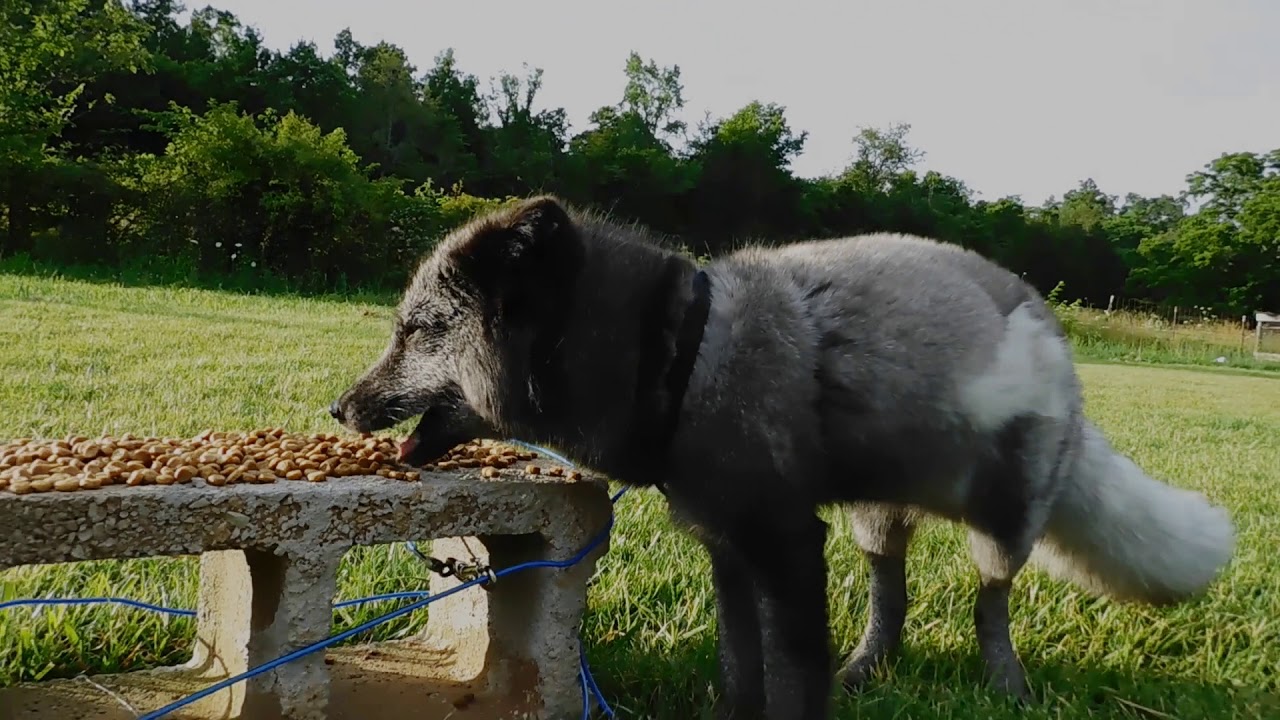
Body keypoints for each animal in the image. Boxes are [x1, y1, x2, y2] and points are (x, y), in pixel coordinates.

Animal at [330, 195, 1235, 719]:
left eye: (418, 331)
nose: (338, 408)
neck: (678, 355)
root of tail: (1052, 331)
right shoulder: (729, 550)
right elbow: (741, 675)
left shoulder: (788, 545)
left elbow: (793, 684)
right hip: (875, 519)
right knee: (892, 594)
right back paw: (867, 669)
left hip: (1002, 520)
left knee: (991, 603)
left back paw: (1005, 686)